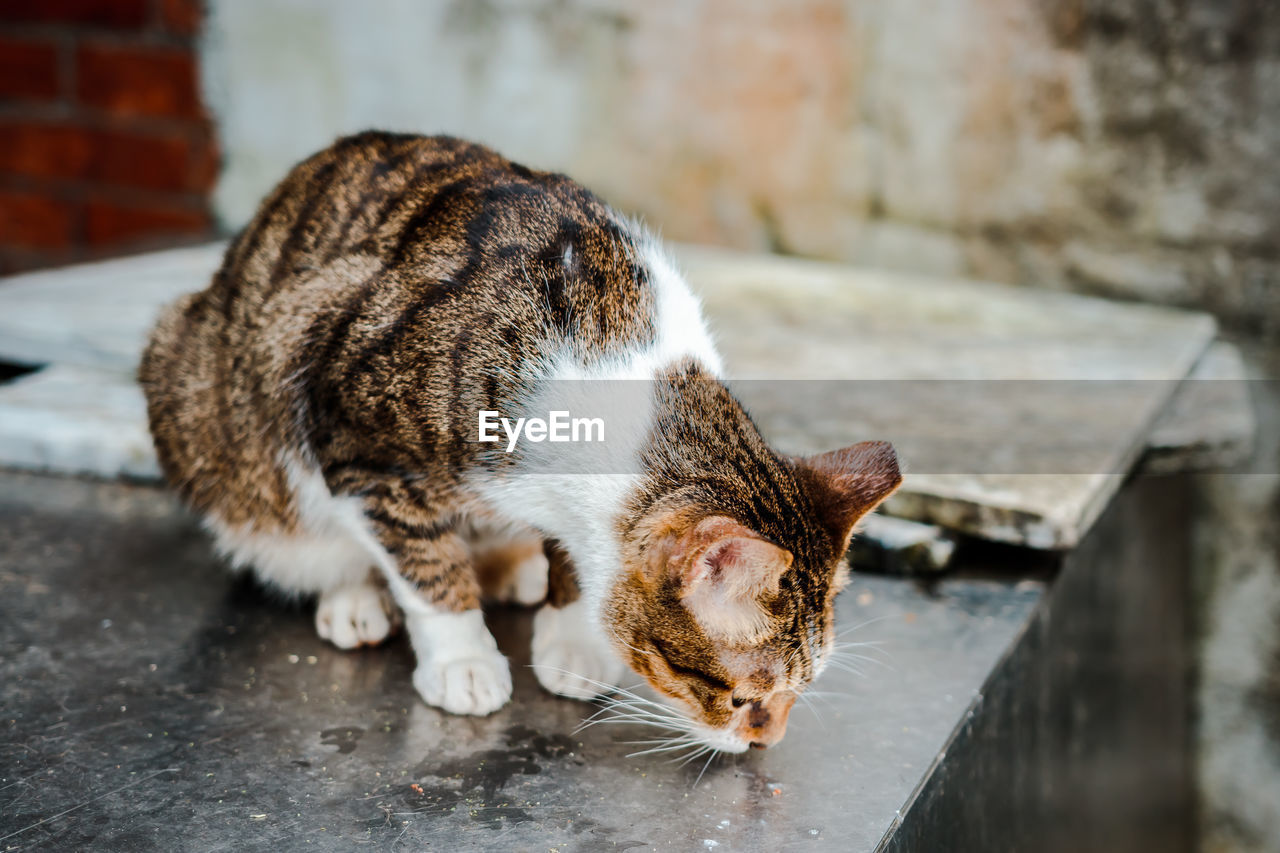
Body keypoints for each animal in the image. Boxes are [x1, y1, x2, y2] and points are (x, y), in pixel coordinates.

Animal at [140, 129, 901, 747]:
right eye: (741, 696)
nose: (768, 740)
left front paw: (570, 634)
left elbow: (571, 558)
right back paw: (354, 596)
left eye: (802, 688)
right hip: (210, 386)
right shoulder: (356, 436)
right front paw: (463, 658)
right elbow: (424, 562)